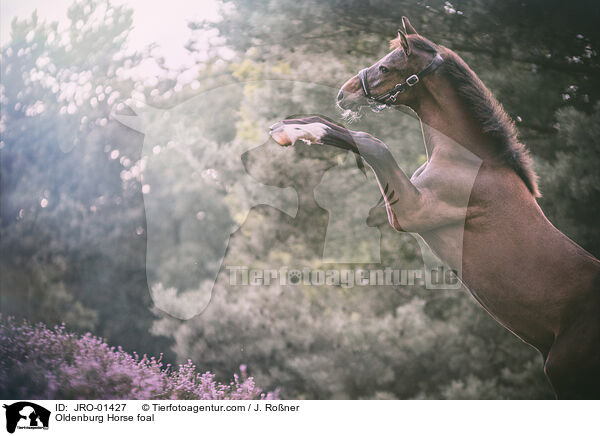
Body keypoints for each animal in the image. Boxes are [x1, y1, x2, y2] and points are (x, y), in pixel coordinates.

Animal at [270, 17, 596, 398]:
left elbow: (372, 142)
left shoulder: (411, 212)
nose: (343, 92)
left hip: (566, 372)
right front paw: (293, 123)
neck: (470, 162)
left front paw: (292, 131)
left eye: (386, 66)